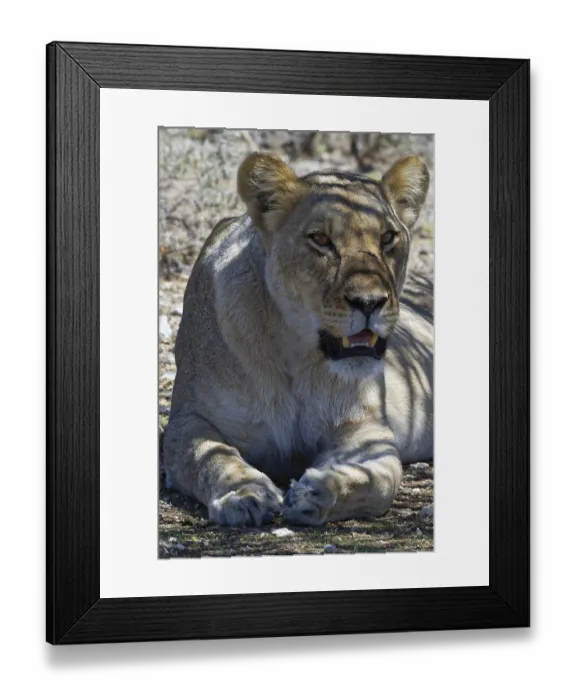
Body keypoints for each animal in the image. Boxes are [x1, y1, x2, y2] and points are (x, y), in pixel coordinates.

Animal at [163, 152, 433, 527]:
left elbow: (379, 482)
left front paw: (317, 493)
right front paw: (244, 493)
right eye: (320, 239)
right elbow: (210, 456)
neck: (296, 352)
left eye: (388, 237)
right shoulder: (188, 421)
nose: (370, 303)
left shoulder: (366, 428)